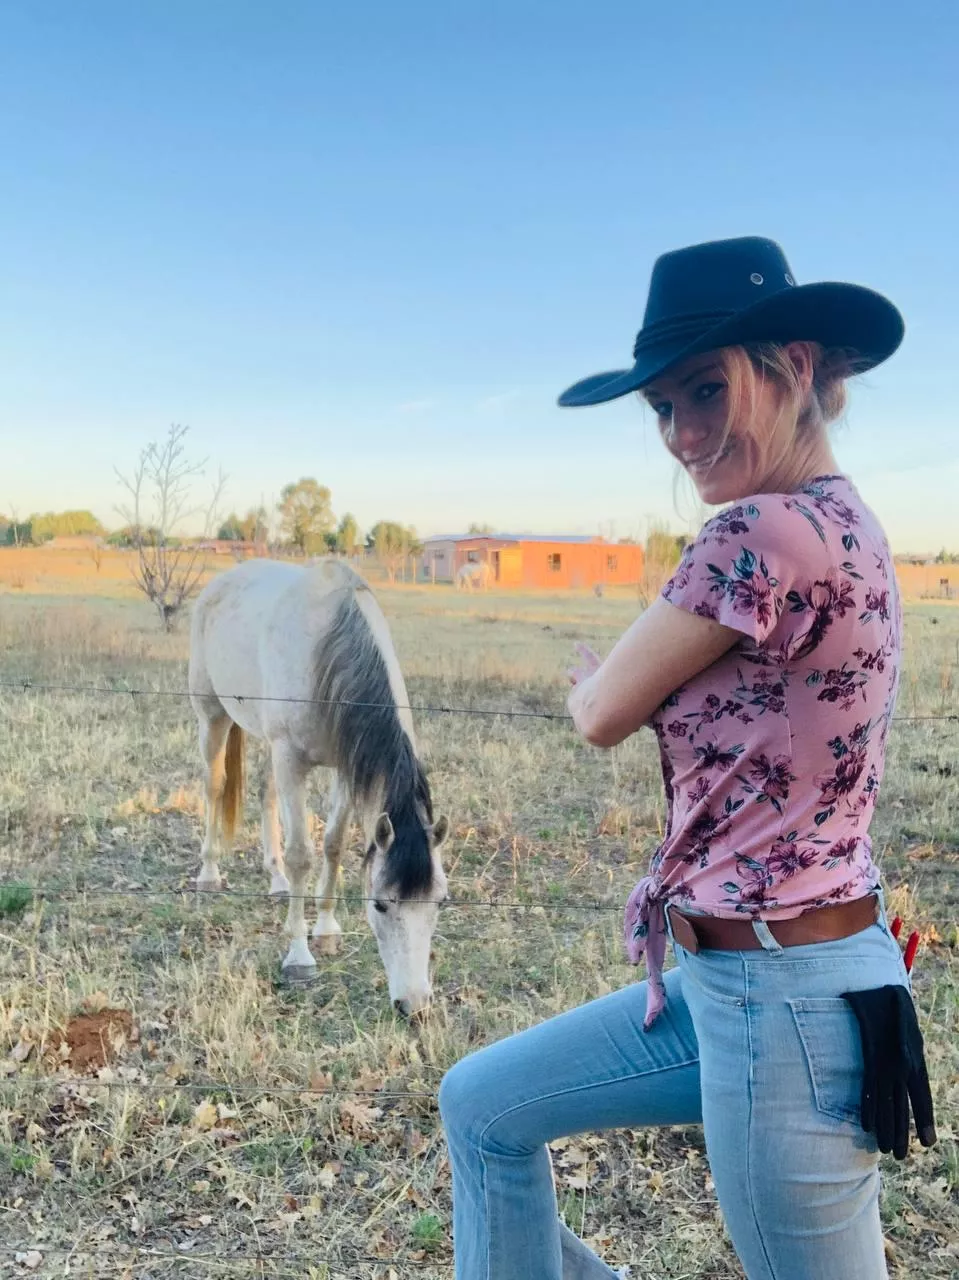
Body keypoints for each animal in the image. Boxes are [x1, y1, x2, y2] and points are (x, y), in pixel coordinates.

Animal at [188, 558, 449, 1015]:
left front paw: (325, 929)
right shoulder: (292, 758)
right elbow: (301, 856)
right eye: (380, 903)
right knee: (214, 786)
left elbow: (333, 844)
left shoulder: (346, 765)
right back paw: (209, 873)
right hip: (213, 716)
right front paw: (299, 957)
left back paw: (275, 881)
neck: (328, 649)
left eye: (439, 902)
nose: (414, 1005)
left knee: (266, 794)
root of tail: (221, 580)